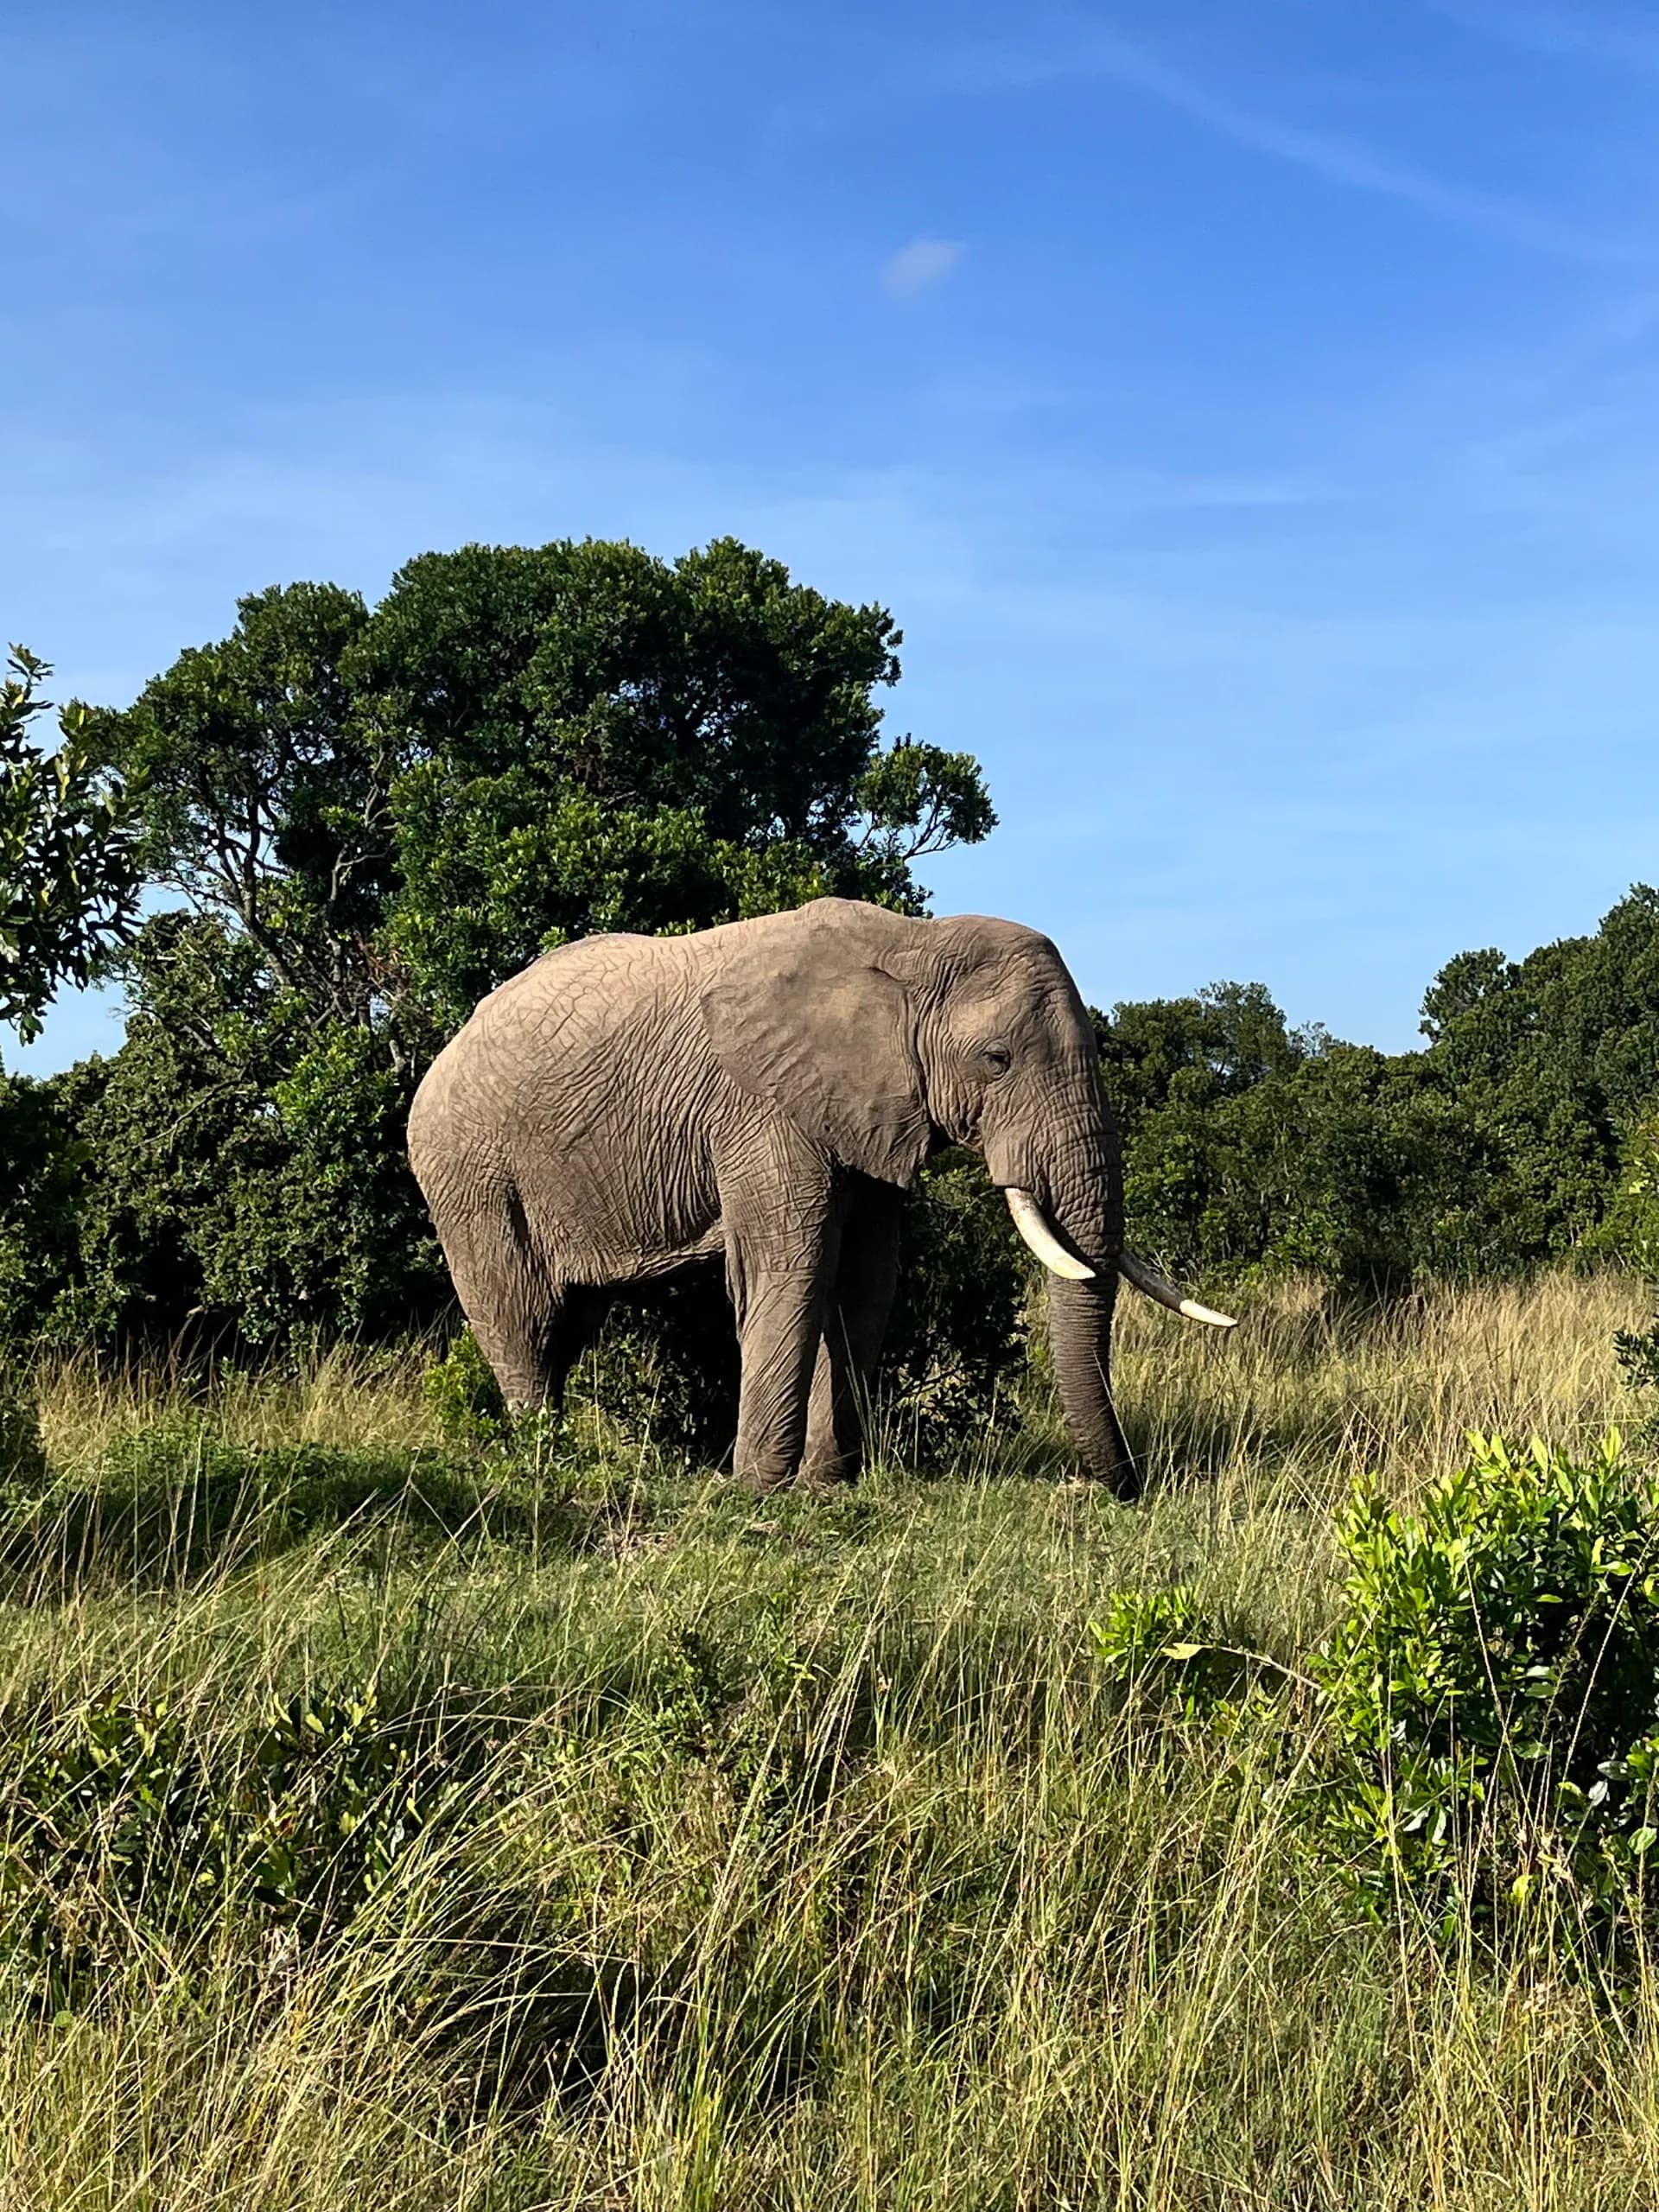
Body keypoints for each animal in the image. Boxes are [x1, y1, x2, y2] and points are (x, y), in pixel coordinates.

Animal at [406, 897, 1233, 1498]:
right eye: (996, 1060)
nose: (1125, 1489)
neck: (911, 949)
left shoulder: (870, 1111)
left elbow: (868, 1280)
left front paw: (825, 1486)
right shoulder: (760, 1106)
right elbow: (795, 1269)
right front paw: (758, 1491)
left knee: (568, 1325)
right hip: (469, 1170)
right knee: (521, 1316)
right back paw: (542, 1462)